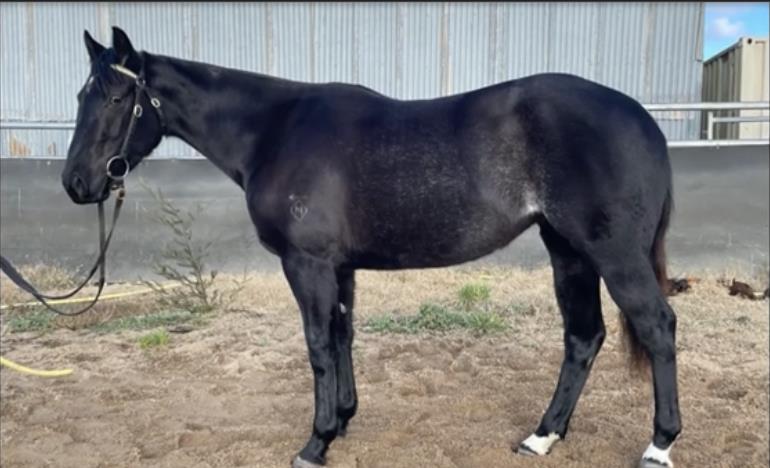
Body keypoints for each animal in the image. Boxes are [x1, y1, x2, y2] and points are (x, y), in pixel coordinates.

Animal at [62, 27, 681, 468]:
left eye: (116, 97)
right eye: (82, 94)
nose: (76, 184)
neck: (275, 130)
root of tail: (642, 120)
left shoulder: (307, 264)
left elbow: (317, 345)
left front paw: (315, 444)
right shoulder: (339, 268)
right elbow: (343, 336)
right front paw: (342, 419)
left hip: (614, 256)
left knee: (656, 326)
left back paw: (659, 445)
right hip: (568, 252)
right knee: (583, 336)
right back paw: (542, 437)